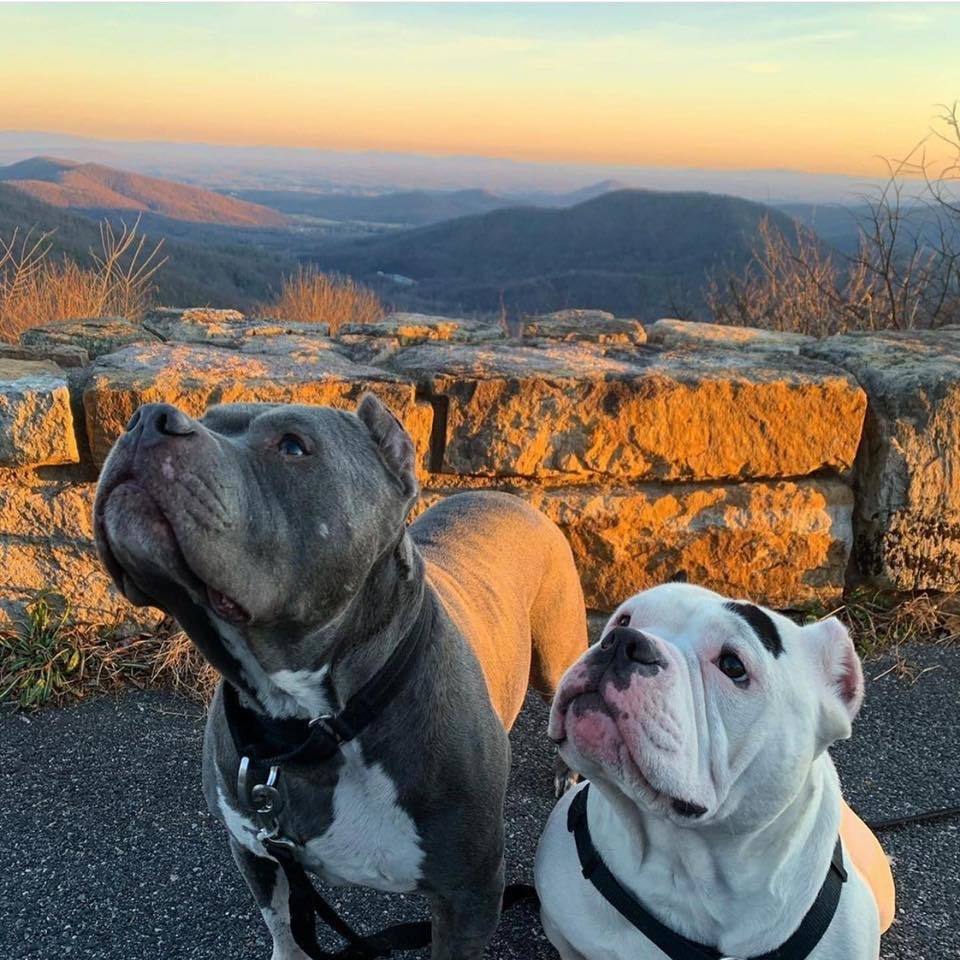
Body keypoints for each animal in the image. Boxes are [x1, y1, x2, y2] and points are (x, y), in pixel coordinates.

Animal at [94, 394, 584, 956]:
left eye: (292, 446)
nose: (145, 419)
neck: (314, 724)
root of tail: (509, 496)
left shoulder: (471, 893)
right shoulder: (257, 851)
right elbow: (284, 927)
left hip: (555, 659)